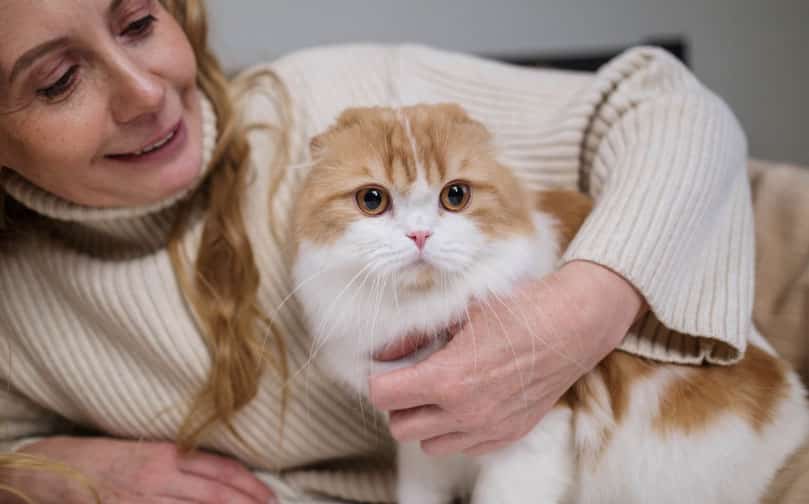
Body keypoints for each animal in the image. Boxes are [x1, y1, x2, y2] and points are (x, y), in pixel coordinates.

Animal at [290, 103, 808, 504]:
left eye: (455, 195)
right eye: (372, 200)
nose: (420, 235)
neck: (420, 312)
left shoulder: (530, 442)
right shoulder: (423, 449)